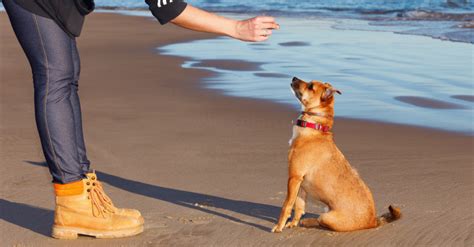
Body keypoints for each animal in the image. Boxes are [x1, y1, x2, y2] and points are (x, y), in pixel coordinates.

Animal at [270, 77, 400, 233]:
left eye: (311, 86)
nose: (294, 78)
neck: (314, 128)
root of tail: (373, 221)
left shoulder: (294, 177)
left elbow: (287, 205)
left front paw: (279, 226)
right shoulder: (301, 184)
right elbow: (299, 206)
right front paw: (292, 223)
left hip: (326, 216)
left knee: (320, 221)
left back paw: (308, 221)